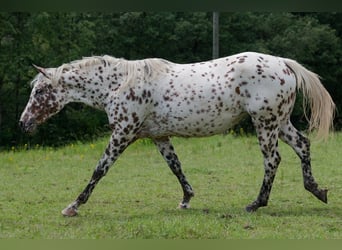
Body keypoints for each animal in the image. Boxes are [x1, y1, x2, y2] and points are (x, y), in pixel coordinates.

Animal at [18, 51, 334, 216]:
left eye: (40, 91)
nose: (24, 123)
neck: (118, 84)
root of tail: (284, 64)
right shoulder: (158, 137)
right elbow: (175, 167)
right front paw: (186, 199)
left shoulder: (123, 133)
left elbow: (99, 170)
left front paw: (72, 206)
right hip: (279, 123)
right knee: (303, 146)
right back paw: (317, 190)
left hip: (266, 124)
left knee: (272, 160)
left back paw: (256, 203)